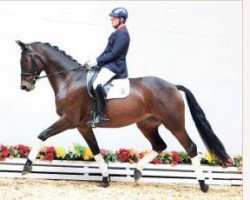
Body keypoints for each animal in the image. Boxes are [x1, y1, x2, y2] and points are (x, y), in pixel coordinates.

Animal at [16, 40, 232, 192]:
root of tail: (173, 86)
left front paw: (27, 167)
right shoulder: (83, 126)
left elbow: (42, 135)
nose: (25, 87)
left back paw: (203, 185)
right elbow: (95, 150)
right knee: (159, 146)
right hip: (147, 124)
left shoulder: (68, 120)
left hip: (174, 123)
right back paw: (136, 172)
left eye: (25, 60)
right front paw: (105, 179)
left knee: (190, 147)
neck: (69, 79)